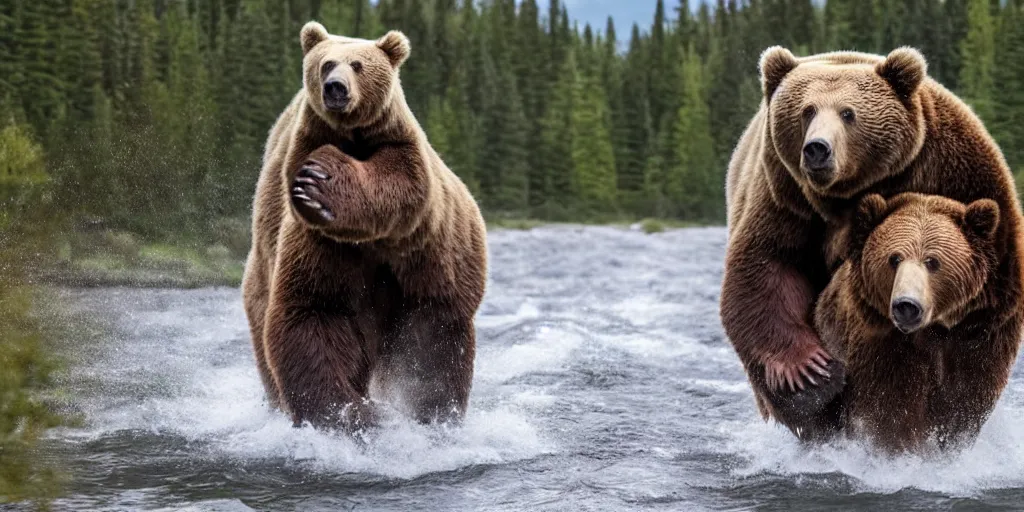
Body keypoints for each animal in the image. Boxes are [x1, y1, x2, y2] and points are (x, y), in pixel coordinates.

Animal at [245, 22, 489, 430]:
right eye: (327, 63)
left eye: (357, 64)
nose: (335, 88)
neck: (374, 238)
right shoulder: (323, 247)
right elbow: (315, 314)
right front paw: (349, 413)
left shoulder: (424, 247)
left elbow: (431, 345)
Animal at [815, 192, 1007, 452]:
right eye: (894, 259)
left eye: (933, 261)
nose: (907, 306)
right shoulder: (883, 354)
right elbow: (890, 413)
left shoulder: (974, 349)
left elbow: (963, 404)